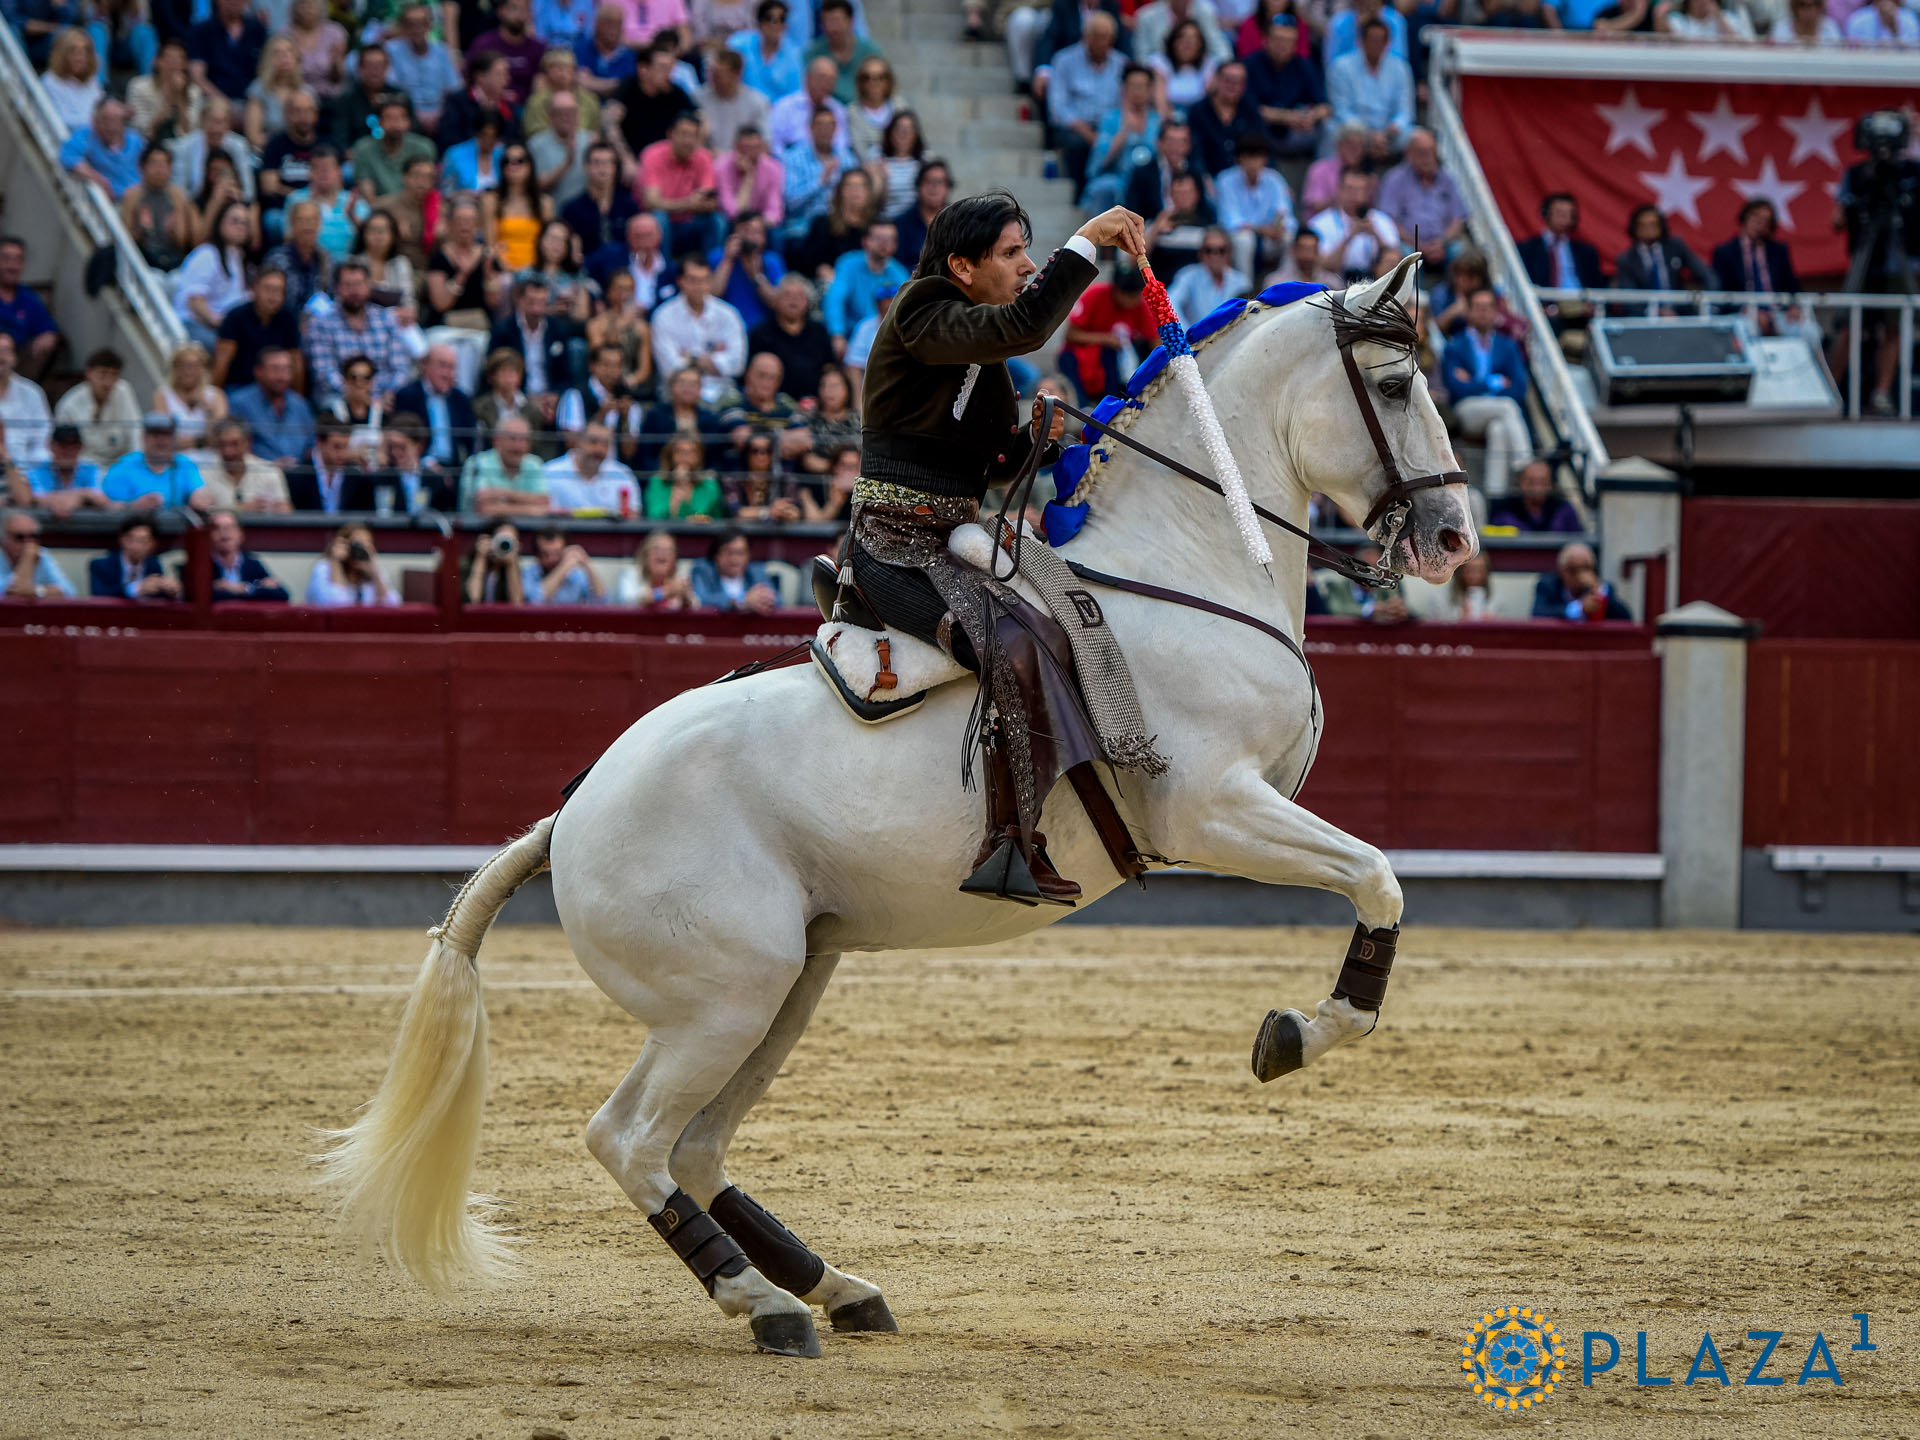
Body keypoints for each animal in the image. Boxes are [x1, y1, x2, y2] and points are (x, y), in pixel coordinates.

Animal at [319, 252, 1478, 1358]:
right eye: (1395, 381)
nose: (1456, 538)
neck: (1178, 573)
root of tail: (574, 813)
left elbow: (1376, 875)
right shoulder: (1210, 810)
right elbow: (1378, 875)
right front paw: (1296, 1034)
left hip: (787, 985)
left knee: (696, 1146)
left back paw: (837, 1287)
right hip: (724, 998)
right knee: (630, 1138)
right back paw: (763, 1304)